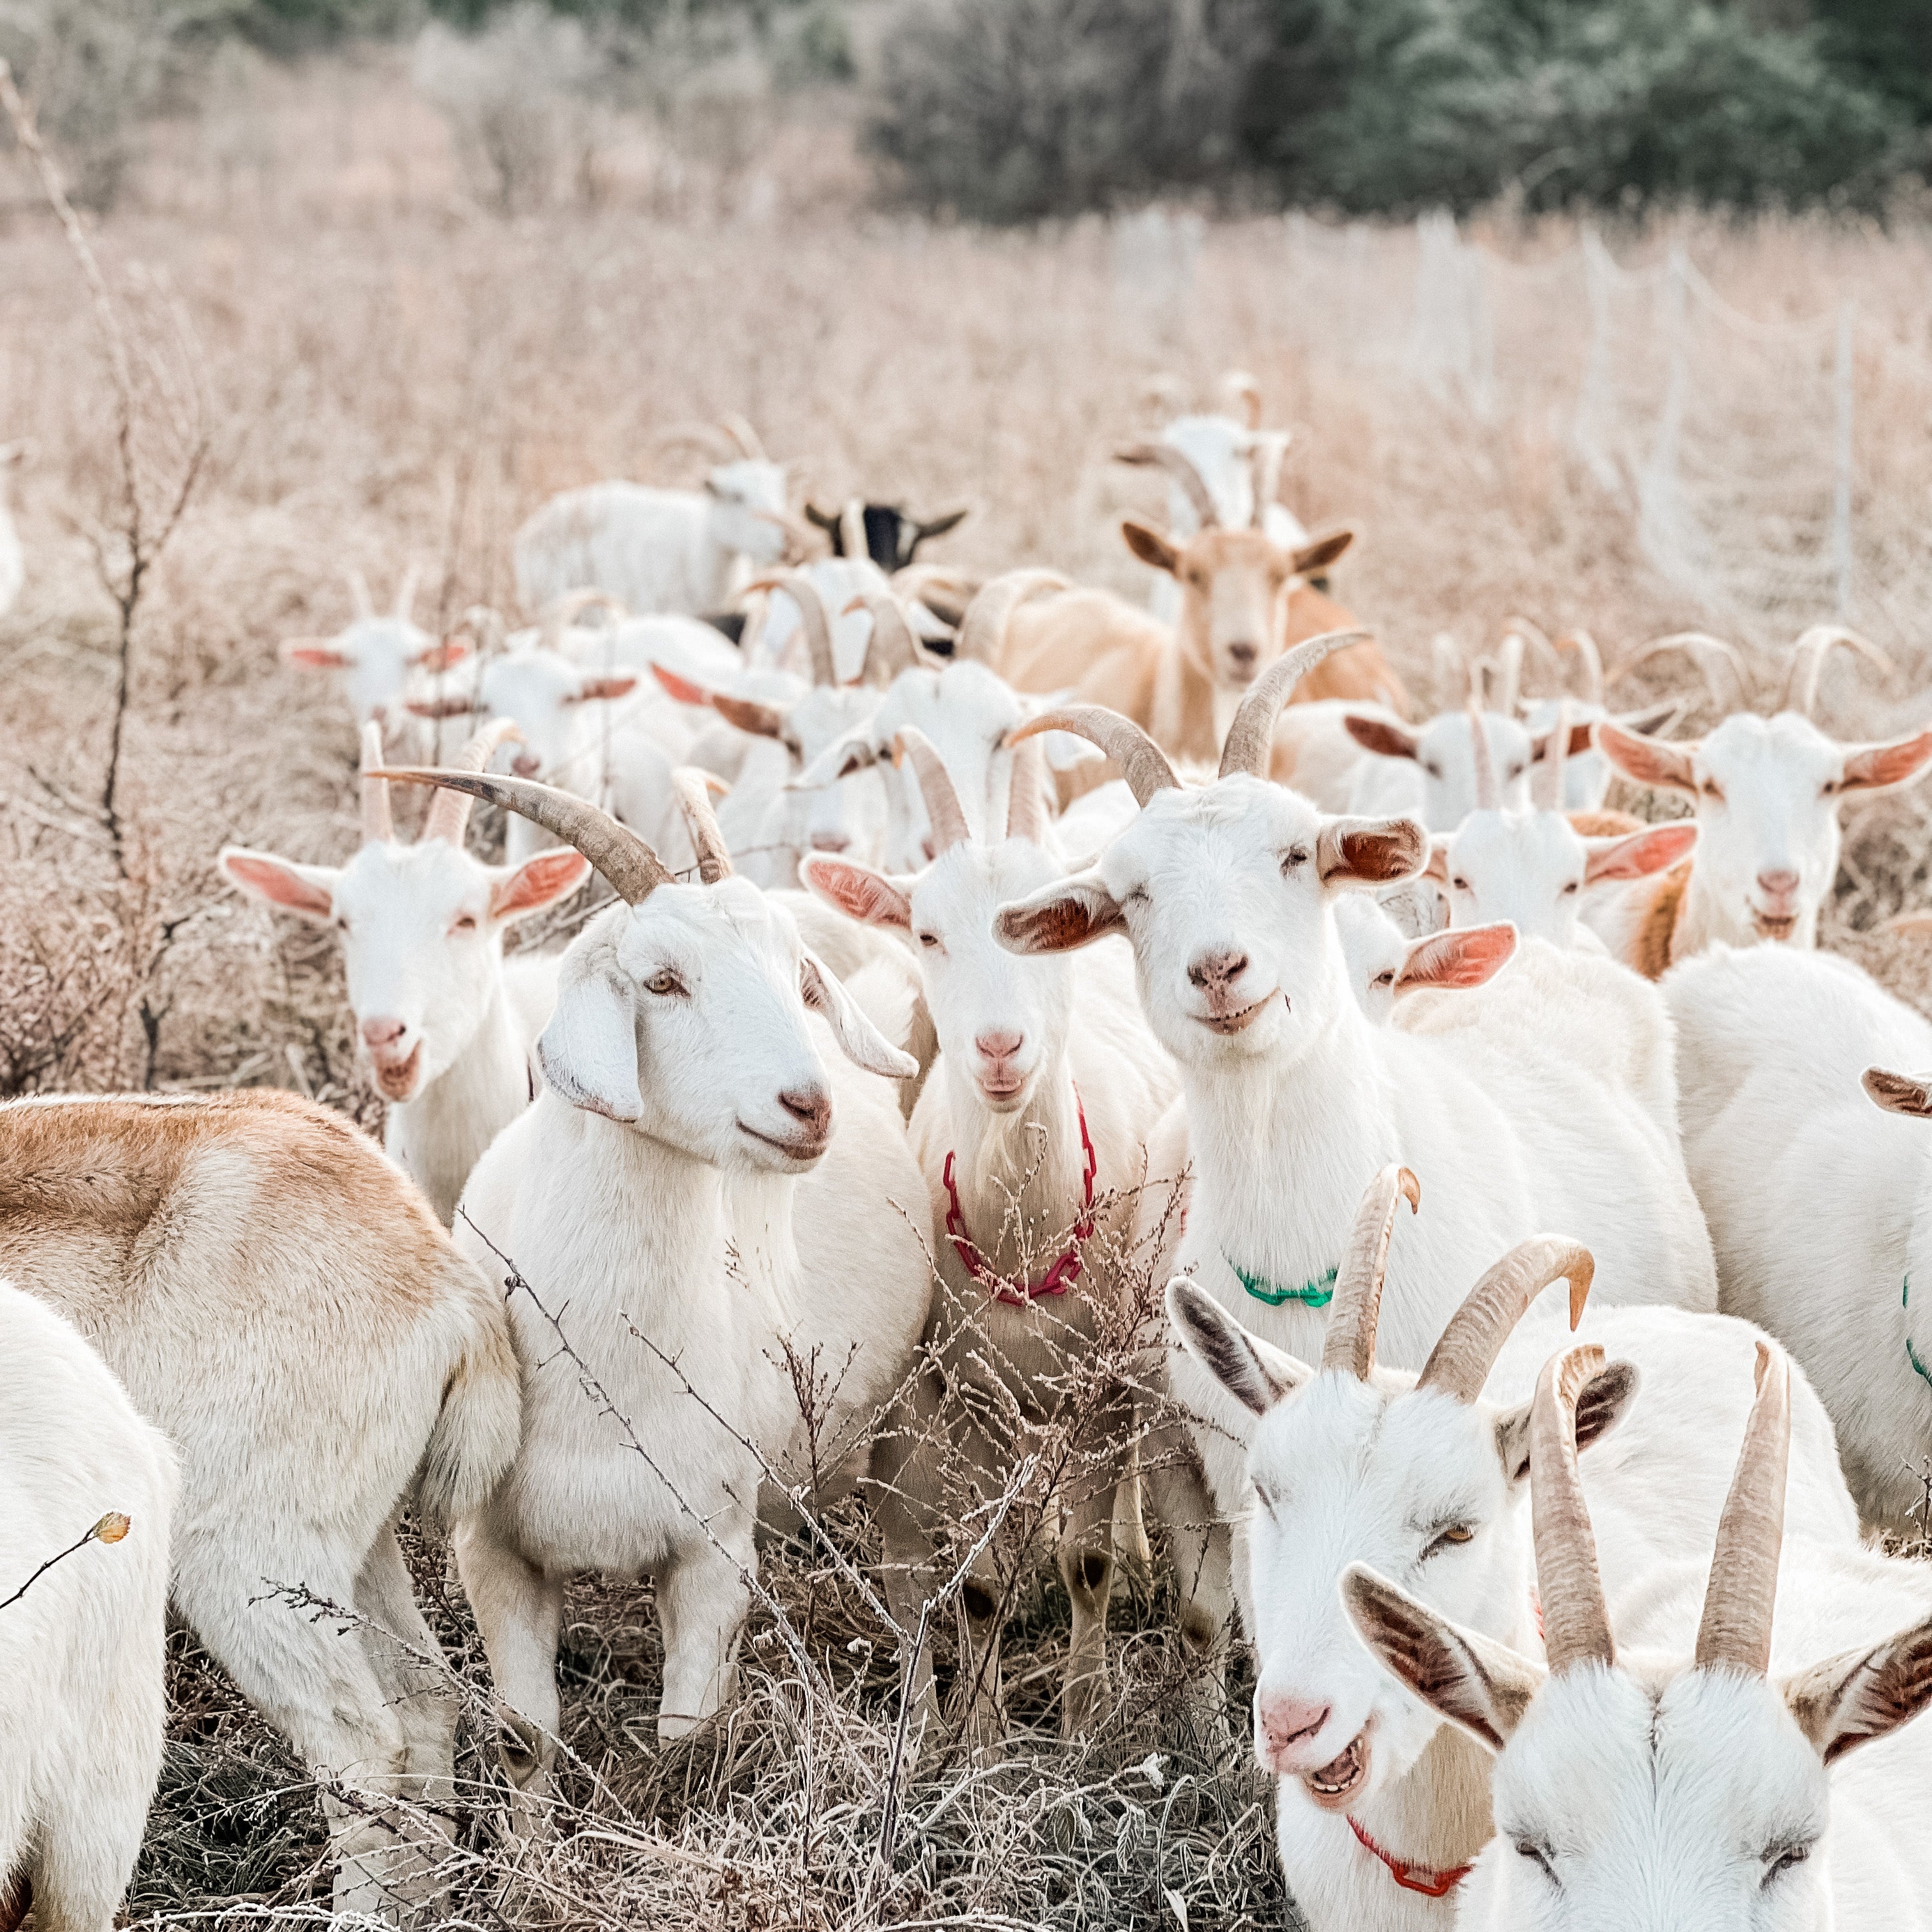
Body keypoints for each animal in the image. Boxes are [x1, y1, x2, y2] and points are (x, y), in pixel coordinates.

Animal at [364, 765, 929, 1789]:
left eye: (797, 980)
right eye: (663, 982)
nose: (808, 1106)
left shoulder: (712, 1553)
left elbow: (683, 1745)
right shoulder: (492, 1549)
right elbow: (528, 1736)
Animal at [802, 732, 1180, 1745]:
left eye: (1042, 930)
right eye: (926, 934)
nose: (1001, 1048)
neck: (1027, 1232)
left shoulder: (1103, 1382)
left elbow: (1086, 1561)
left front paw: (1084, 1720)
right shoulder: (961, 1389)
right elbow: (972, 1584)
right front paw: (977, 1735)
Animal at [990, 635, 1719, 1654]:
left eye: (1298, 853)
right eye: (1130, 895)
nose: (1219, 969)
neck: (1309, 1251)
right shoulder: (1216, 1462)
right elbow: (1225, 1615)